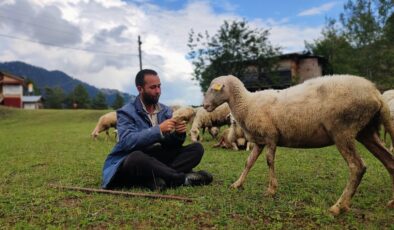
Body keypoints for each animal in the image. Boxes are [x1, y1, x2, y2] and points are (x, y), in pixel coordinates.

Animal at [203, 74, 394, 216]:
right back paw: (391, 202)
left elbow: (269, 161)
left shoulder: (271, 136)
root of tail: (376, 93)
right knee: (389, 162)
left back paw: (338, 206)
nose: (204, 106)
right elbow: (248, 162)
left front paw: (271, 190)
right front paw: (237, 184)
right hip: (366, 132)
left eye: (213, 89)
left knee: (357, 167)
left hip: (343, 131)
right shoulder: (259, 141)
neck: (247, 103)